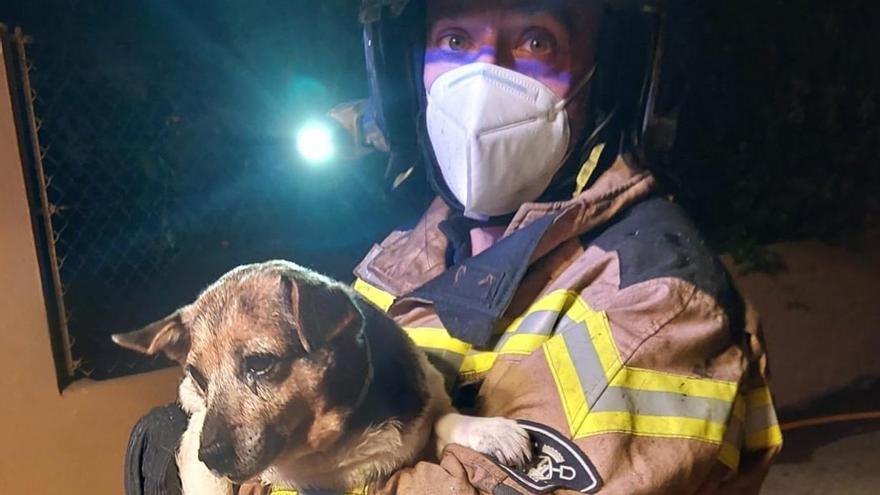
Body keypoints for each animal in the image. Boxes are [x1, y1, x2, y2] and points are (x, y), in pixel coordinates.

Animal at [114, 262, 532, 494]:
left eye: (260, 363)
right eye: (199, 375)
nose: (210, 457)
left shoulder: (424, 416)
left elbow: (446, 419)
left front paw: (494, 432)